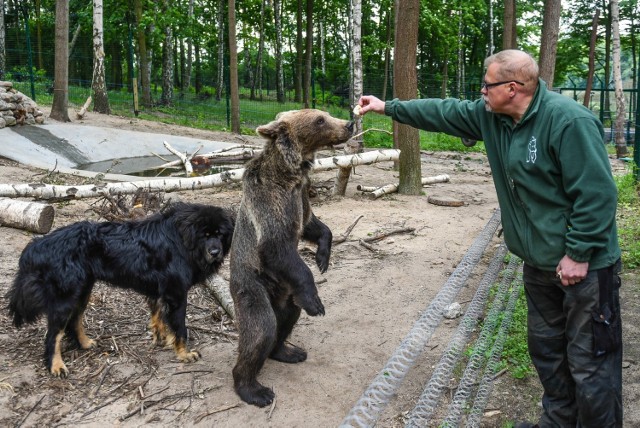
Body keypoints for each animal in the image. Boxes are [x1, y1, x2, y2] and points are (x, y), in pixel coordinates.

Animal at [6, 202, 234, 376]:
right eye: (205, 235)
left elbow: (158, 318)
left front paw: (160, 339)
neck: (182, 240)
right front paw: (184, 353)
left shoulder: (159, 292)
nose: (215, 252)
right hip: (66, 297)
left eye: (220, 234)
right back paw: (56, 366)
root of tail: (38, 244)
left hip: (82, 291)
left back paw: (85, 343)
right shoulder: (176, 294)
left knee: (75, 320)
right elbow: (180, 328)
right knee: (54, 335)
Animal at [230, 108, 356, 406]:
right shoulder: (270, 202)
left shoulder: (301, 196)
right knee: (262, 328)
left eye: (325, 114)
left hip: (285, 290)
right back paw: (254, 389)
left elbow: (313, 224)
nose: (348, 124)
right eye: (320, 120)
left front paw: (323, 257)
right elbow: (277, 246)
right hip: (252, 284)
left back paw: (288, 350)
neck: (290, 174)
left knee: (288, 316)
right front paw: (317, 302)